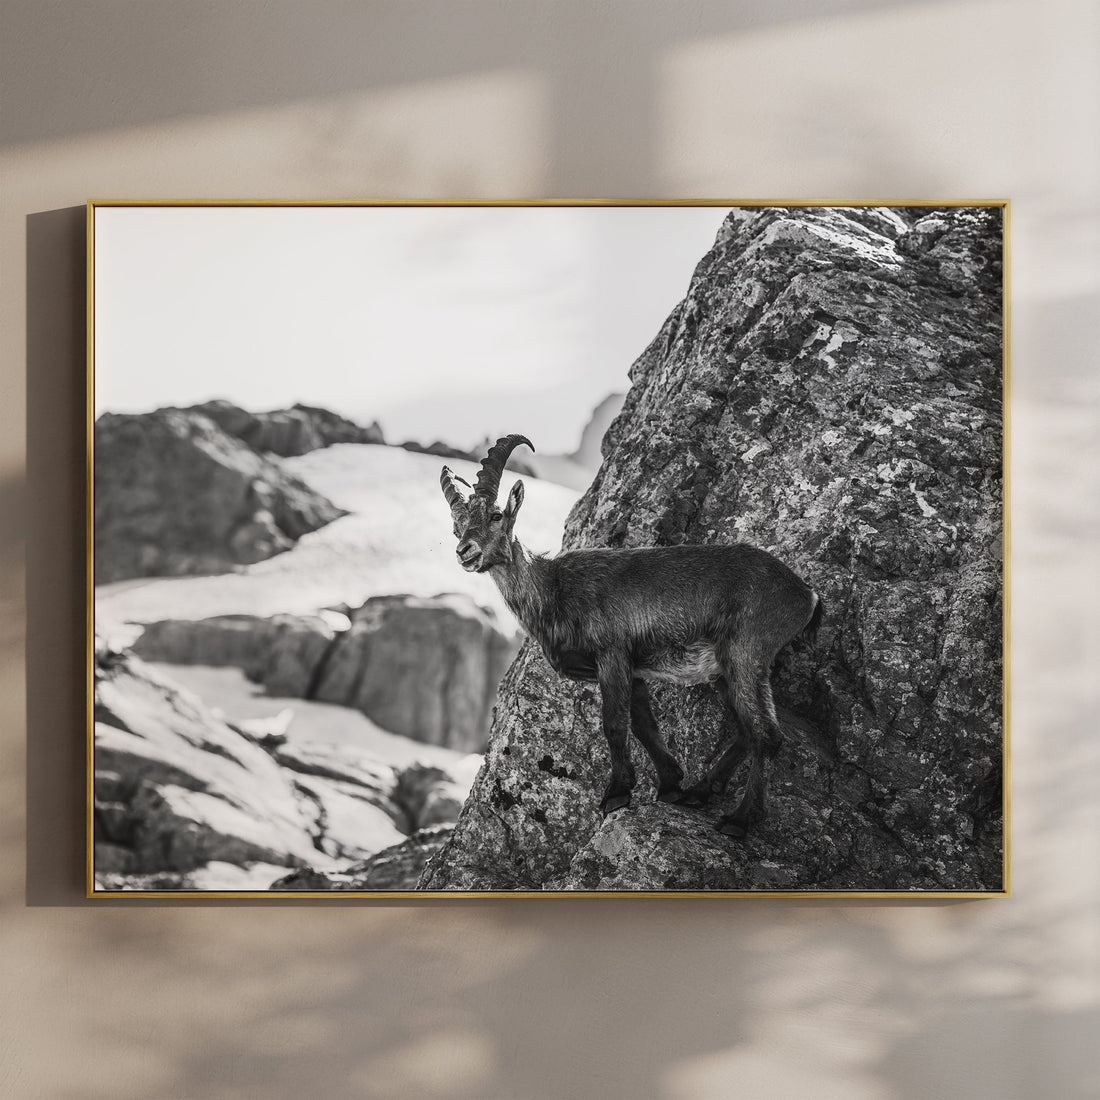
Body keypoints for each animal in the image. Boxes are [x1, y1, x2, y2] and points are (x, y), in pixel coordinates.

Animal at [440, 434, 823, 837]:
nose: (465, 551)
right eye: (456, 527)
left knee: (766, 735)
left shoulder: (612, 655)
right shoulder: (632, 669)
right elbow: (642, 724)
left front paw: (616, 795)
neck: (554, 591)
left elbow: (614, 724)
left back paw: (740, 819)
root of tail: (805, 594)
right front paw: (671, 785)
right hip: (724, 670)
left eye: (497, 515)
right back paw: (700, 792)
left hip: (746, 652)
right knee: (746, 731)